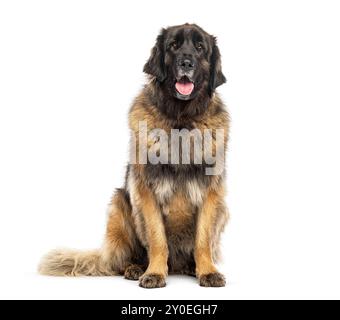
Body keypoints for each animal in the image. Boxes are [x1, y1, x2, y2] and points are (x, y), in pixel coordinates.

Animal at [39, 22, 231, 288]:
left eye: (200, 48)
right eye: (173, 46)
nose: (186, 63)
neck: (180, 120)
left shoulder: (211, 193)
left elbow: (202, 240)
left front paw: (207, 272)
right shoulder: (146, 192)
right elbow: (157, 239)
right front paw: (154, 273)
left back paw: (191, 267)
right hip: (119, 204)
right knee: (123, 259)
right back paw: (135, 268)